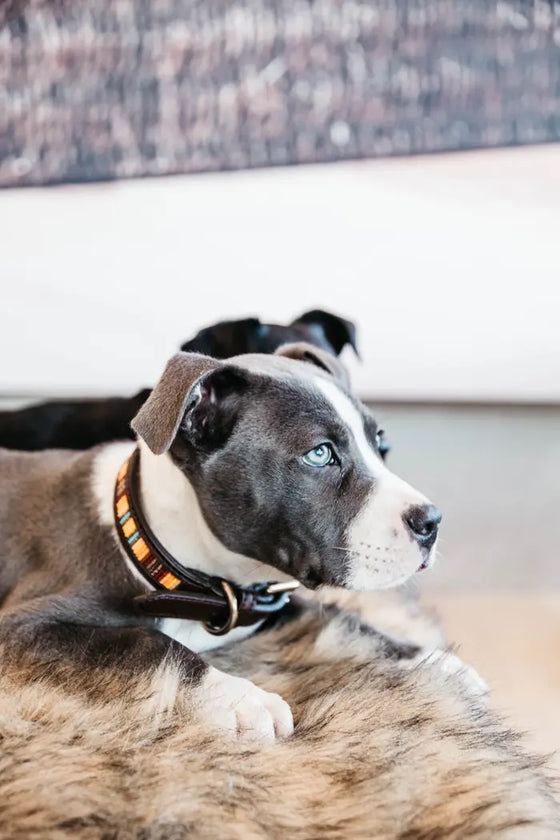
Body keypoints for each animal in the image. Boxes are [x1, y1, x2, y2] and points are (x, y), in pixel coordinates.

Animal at [0, 344, 442, 740]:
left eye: (380, 445)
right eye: (319, 454)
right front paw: (239, 698)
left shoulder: (266, 601)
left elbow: (341, 617)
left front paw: (427, 658)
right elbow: (145, 641)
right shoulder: (21, 625)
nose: (432, 521)